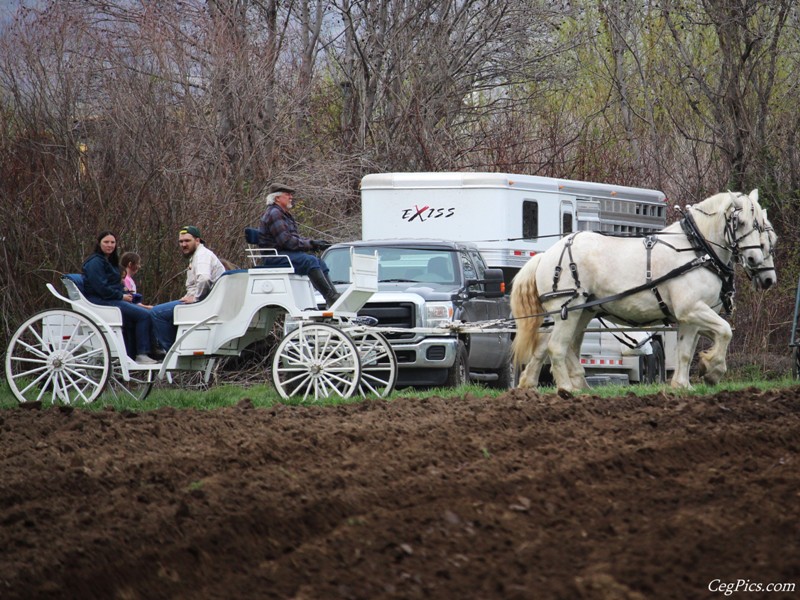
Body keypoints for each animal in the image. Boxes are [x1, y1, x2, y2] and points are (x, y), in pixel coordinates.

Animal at [512, 190, 776, 392]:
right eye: (741, 223)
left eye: (766, 234)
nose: (763, 271)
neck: (697, 249)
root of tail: (546, 255)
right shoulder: (692, 309)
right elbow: (725, 331)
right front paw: (712, 371)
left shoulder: (689, 317)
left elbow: (686, 351)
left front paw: (684, 384)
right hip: (568, 311)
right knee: (556, 347)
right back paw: (566, 389)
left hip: (581, 313)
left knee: (555, 346)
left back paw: (542, 385)